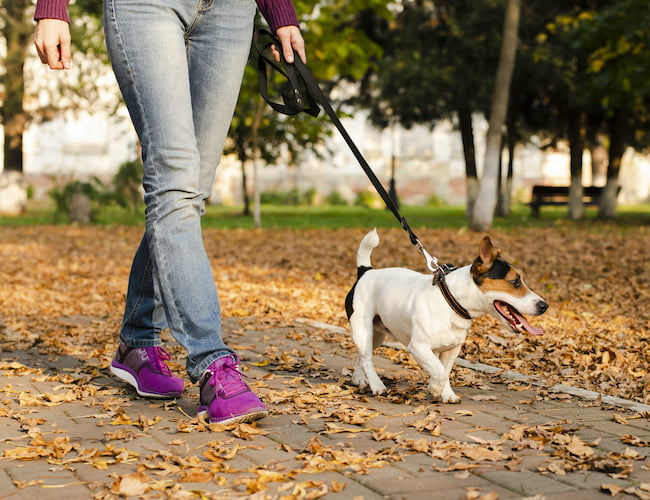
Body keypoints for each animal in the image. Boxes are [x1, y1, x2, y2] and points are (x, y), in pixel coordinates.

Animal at [344, 229, 548, 404]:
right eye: (515, 281)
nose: (544, 306)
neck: (451, 300)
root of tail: (366, 272)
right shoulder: (418, 347)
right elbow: (439, 371)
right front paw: (435, 389)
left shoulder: (452, 349)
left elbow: (445, 370)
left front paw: (446, 394)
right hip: (363, 329)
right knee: (367, 358)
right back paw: (377, 385)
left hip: (377, 335)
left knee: (362, 355)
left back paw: (359, 379)